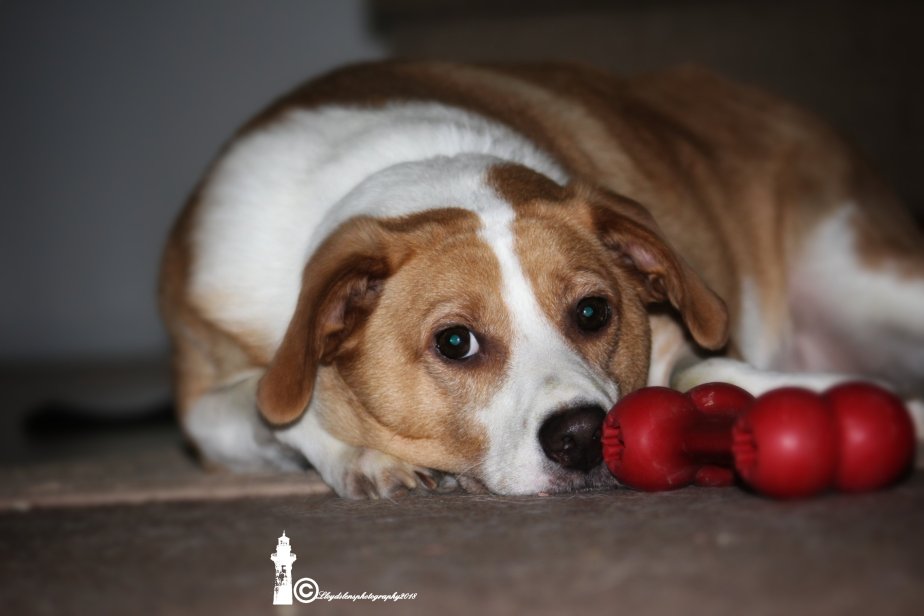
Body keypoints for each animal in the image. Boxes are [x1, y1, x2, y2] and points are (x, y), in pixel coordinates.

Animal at [159, 61, 924, 498]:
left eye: (592, 313)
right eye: (456, 342)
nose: (584, 436)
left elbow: (709, 371)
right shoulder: (205, 406)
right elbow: (273, 406)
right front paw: (360, 452)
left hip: (873, 277)